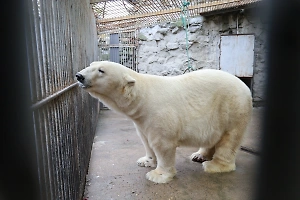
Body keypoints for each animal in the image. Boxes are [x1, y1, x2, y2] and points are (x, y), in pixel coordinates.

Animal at [76, 60, 252, 183]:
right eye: (91, 65)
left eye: (101, 70)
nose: (79, 76)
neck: (143, 97)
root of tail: (245, 87)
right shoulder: (141, 120)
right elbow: (145, 140)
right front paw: (145, 161)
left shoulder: (159, 114)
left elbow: (162, 144)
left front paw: (157, 175)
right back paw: (198, 155)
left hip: (233, 108)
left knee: (229, 138)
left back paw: (214, 165)